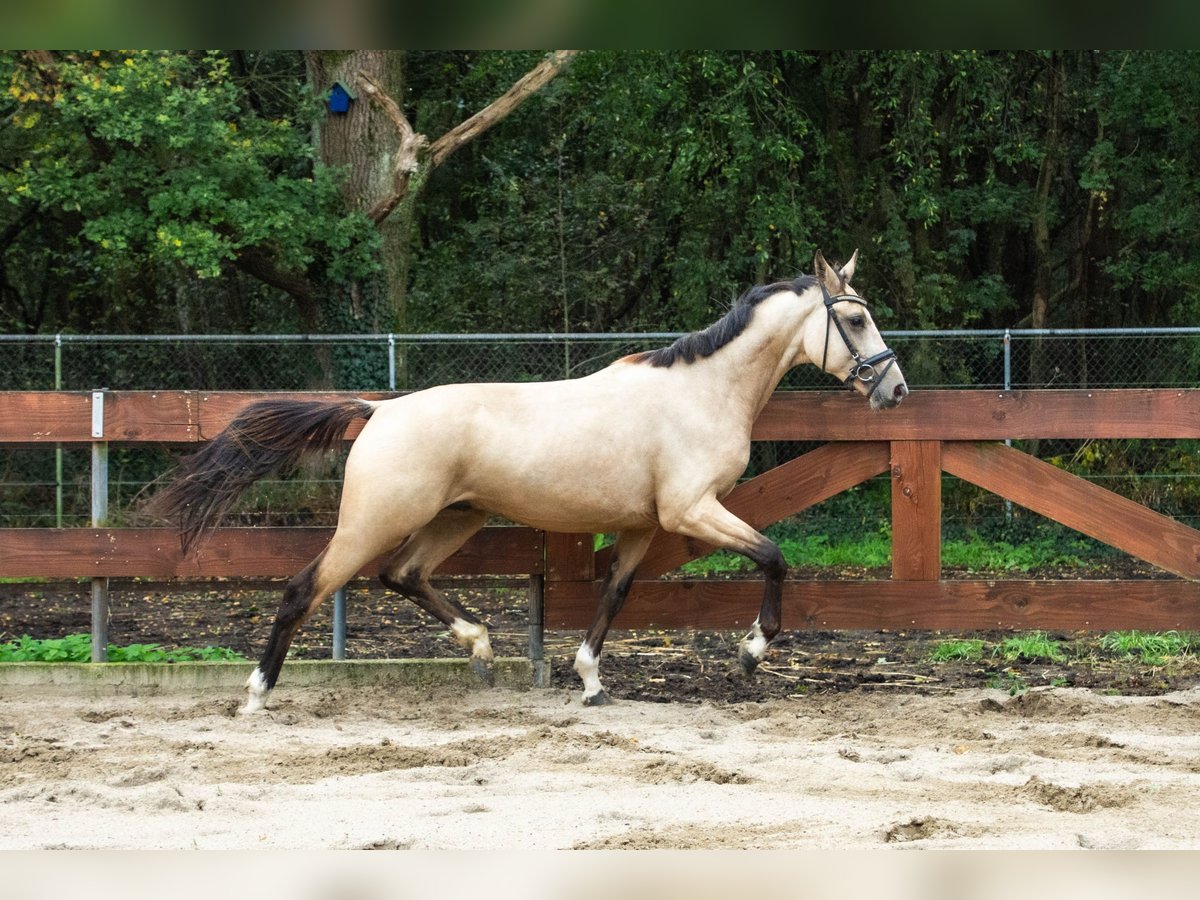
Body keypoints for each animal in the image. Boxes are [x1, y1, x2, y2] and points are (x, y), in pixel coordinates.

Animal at [150, 252, 902, 710]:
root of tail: (379, 410)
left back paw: (481, 649)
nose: (893, 389)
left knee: (402, 575)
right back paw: (256, 694)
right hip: (375, 520)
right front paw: (750, 652)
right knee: (305, 588)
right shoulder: (691, 509)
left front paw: (591, 681)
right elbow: (774, 557)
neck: (701, 391)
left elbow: (616, 594)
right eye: (855, 317)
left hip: (458, 517)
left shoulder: (642, 524)